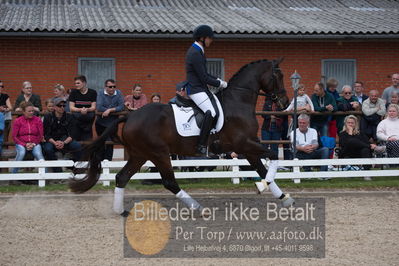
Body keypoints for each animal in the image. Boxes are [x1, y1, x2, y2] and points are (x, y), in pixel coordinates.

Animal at [71, 58, 296, 216]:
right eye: (278, 76)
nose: (285, 103)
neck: (238, 101)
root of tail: (130, 115)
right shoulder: (244, 144)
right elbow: (272, 158)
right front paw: (262, 186)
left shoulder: (248, 147)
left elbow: (262, 167)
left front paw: (284, 198)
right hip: (159, 153)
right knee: (169, 182)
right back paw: (199, 208)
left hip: (139, 154)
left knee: (122, 177)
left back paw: (120, 211)